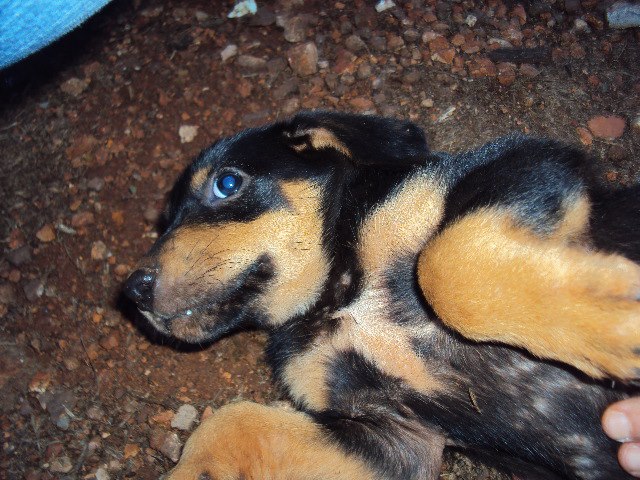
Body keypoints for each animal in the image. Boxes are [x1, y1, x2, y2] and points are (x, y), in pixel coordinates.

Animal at [124, 111, 640, 479]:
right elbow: (229, 426)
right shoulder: (398, 441)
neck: (336, 297)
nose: (134, 290)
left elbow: (446, 265)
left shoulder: (528, 160)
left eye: (227, 183)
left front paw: (619, 321)